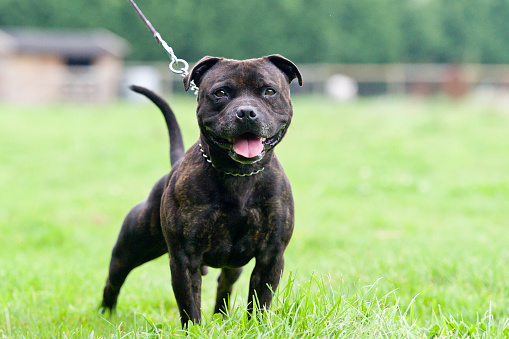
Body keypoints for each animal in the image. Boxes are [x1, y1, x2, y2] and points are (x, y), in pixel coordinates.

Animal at [101, 54, 304, 328]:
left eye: (269, 91)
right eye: (221, 93)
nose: (246, 112)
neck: (238, 176)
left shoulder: (270, 255)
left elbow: (260, 301)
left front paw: (256, 328)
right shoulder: (185, 258)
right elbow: (189, 304)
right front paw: (195, 329)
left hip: (233, 264)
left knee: (225, 283)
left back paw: (221, 316)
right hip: (134, 245)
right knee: (115, 276)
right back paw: (106, 313)